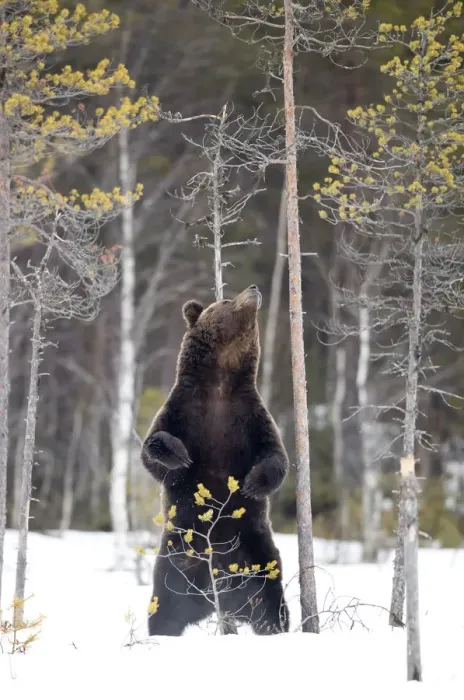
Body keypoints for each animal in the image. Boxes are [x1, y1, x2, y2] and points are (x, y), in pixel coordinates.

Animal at [141, 284, 290, 636]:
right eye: (225, 299)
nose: (254, 288)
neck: (221, 383)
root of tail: (218, 587)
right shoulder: (183, 411)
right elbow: (152, 448)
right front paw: (179, 456)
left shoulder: (250, 418)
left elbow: (276, 456)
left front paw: (252, 483)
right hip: (177, 559)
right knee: (165, 605)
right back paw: (159, 634)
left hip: (258, 556)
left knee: (270, 603)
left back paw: (278, 627)